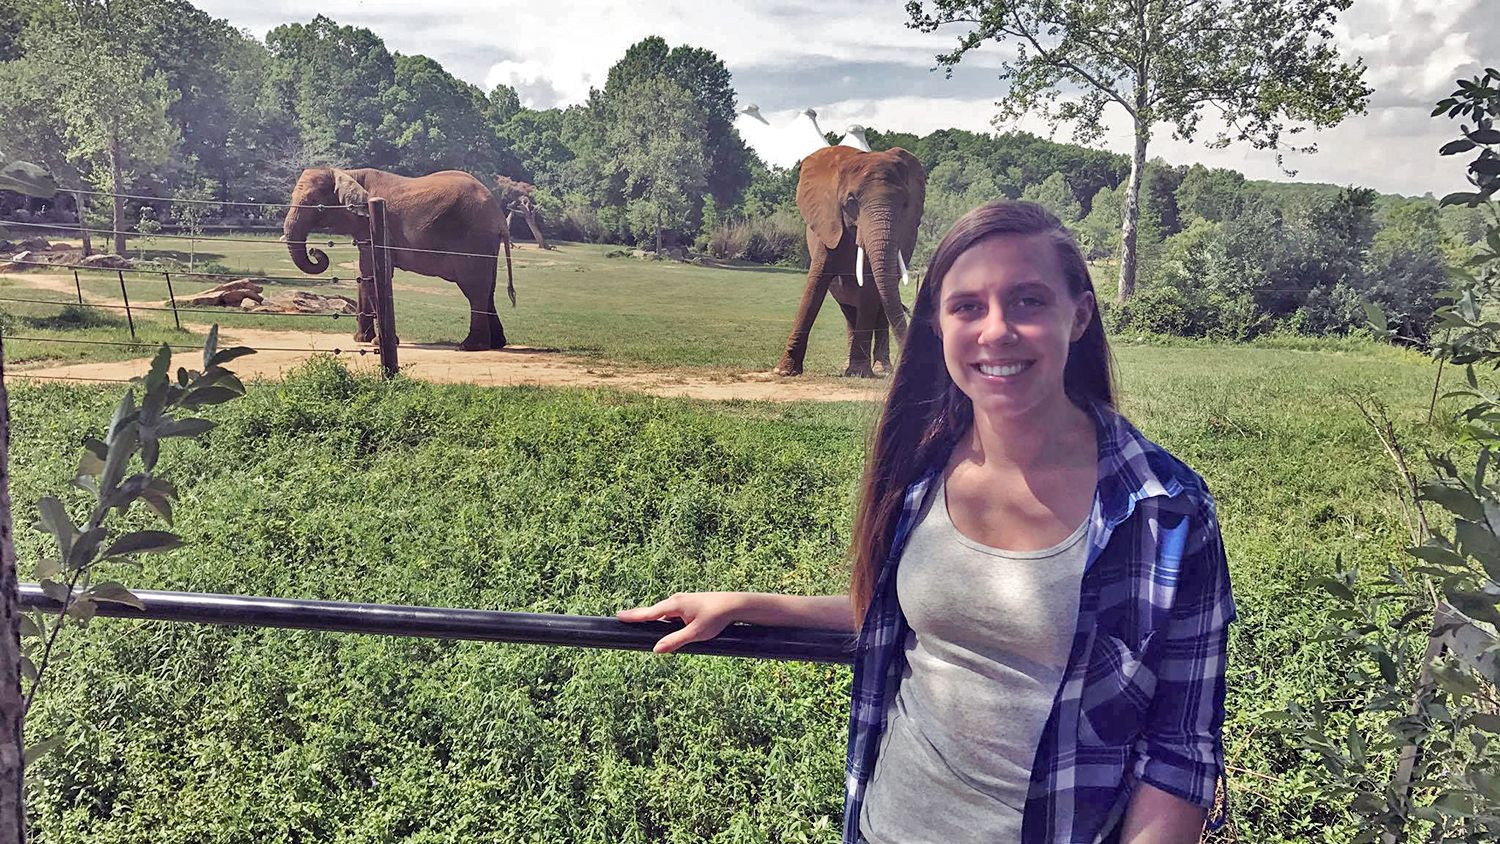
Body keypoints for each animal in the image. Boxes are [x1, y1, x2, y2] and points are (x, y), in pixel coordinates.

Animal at [283, 167, 519, 352]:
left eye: (315, 203)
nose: (315, 251)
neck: (347, 173)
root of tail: (499, 217)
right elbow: (364, 274)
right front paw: (361, 340)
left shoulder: (373, 225)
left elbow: (372, 272)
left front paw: (378, 343)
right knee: (488, 289)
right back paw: (496, 344)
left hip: (473, 239)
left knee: (474, 288)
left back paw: (469, 346)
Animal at [774, 146, 924, 377]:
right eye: (851, 201)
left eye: (905, 204)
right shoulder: (828, 225)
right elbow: (815, 284)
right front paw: (783, 371)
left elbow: (870, 288)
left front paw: (859, 373)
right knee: (848, 308)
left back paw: (881, 368)